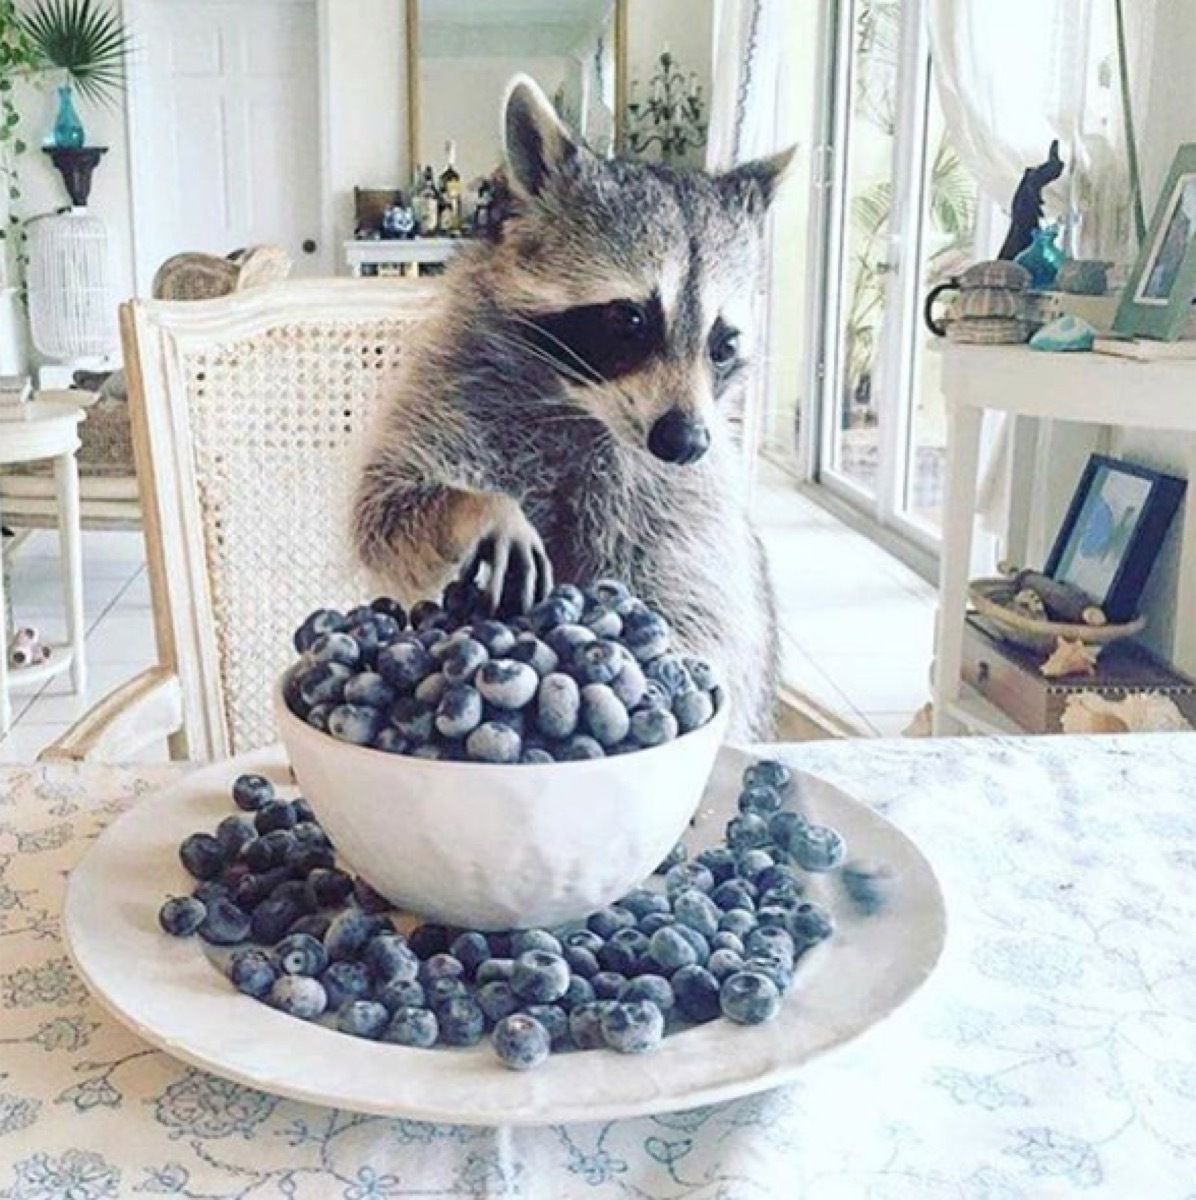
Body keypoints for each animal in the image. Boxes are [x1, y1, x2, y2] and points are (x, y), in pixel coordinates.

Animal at [353, 76, 793, 741]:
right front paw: (480, 507)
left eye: (724, 345)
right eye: (630, 319)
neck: (580, 407)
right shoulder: (450, 388)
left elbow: (699, 606)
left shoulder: (688, 499)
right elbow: (385, 504)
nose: (684, 441)